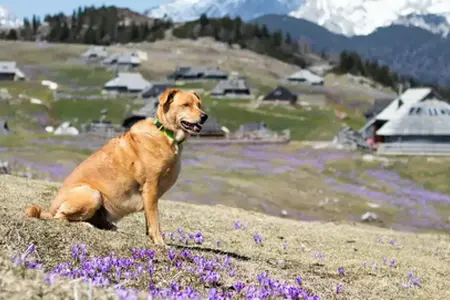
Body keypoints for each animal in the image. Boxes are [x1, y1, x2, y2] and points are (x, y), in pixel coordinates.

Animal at [24, 87, 207, 246]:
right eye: (186, 105)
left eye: (199, 105)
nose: (205, 116)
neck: (166, 134)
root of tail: (51, 207)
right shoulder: (151, 187)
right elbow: (155, 221)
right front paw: (160, 243)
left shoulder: (149, 195)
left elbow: (149, 220)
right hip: (92, 194)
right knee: (61, 217)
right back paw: (86, 225)